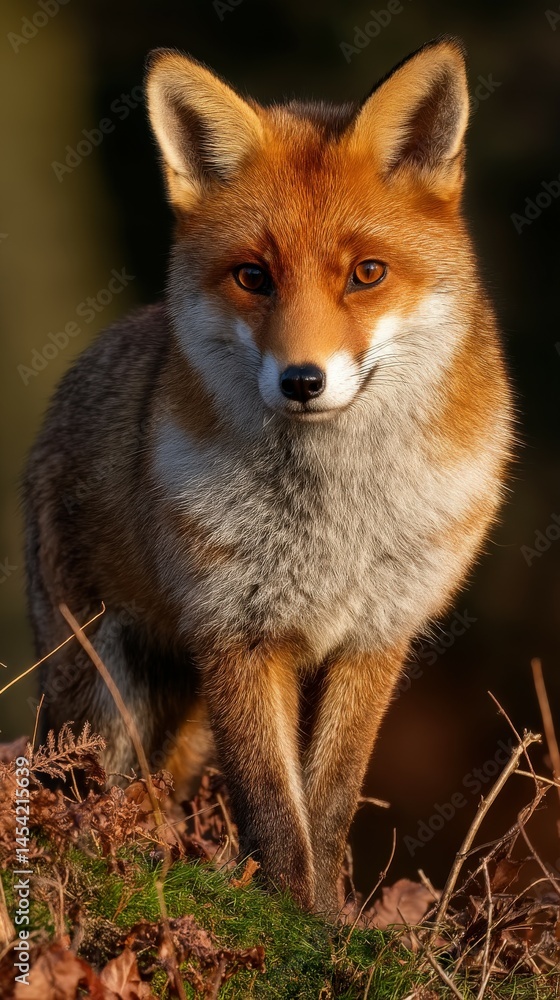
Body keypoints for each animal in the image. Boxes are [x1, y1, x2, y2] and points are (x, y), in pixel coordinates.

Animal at [23, 38, 512, 913]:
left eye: (366, 273)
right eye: (254, 276)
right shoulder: (236, 629)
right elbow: (273, 811)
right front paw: (288, 914)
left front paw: (326, 919)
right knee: (87, 795)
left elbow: (328, 803)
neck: (339, 515)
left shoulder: (378, 634)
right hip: (99, 690)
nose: (302, 381)